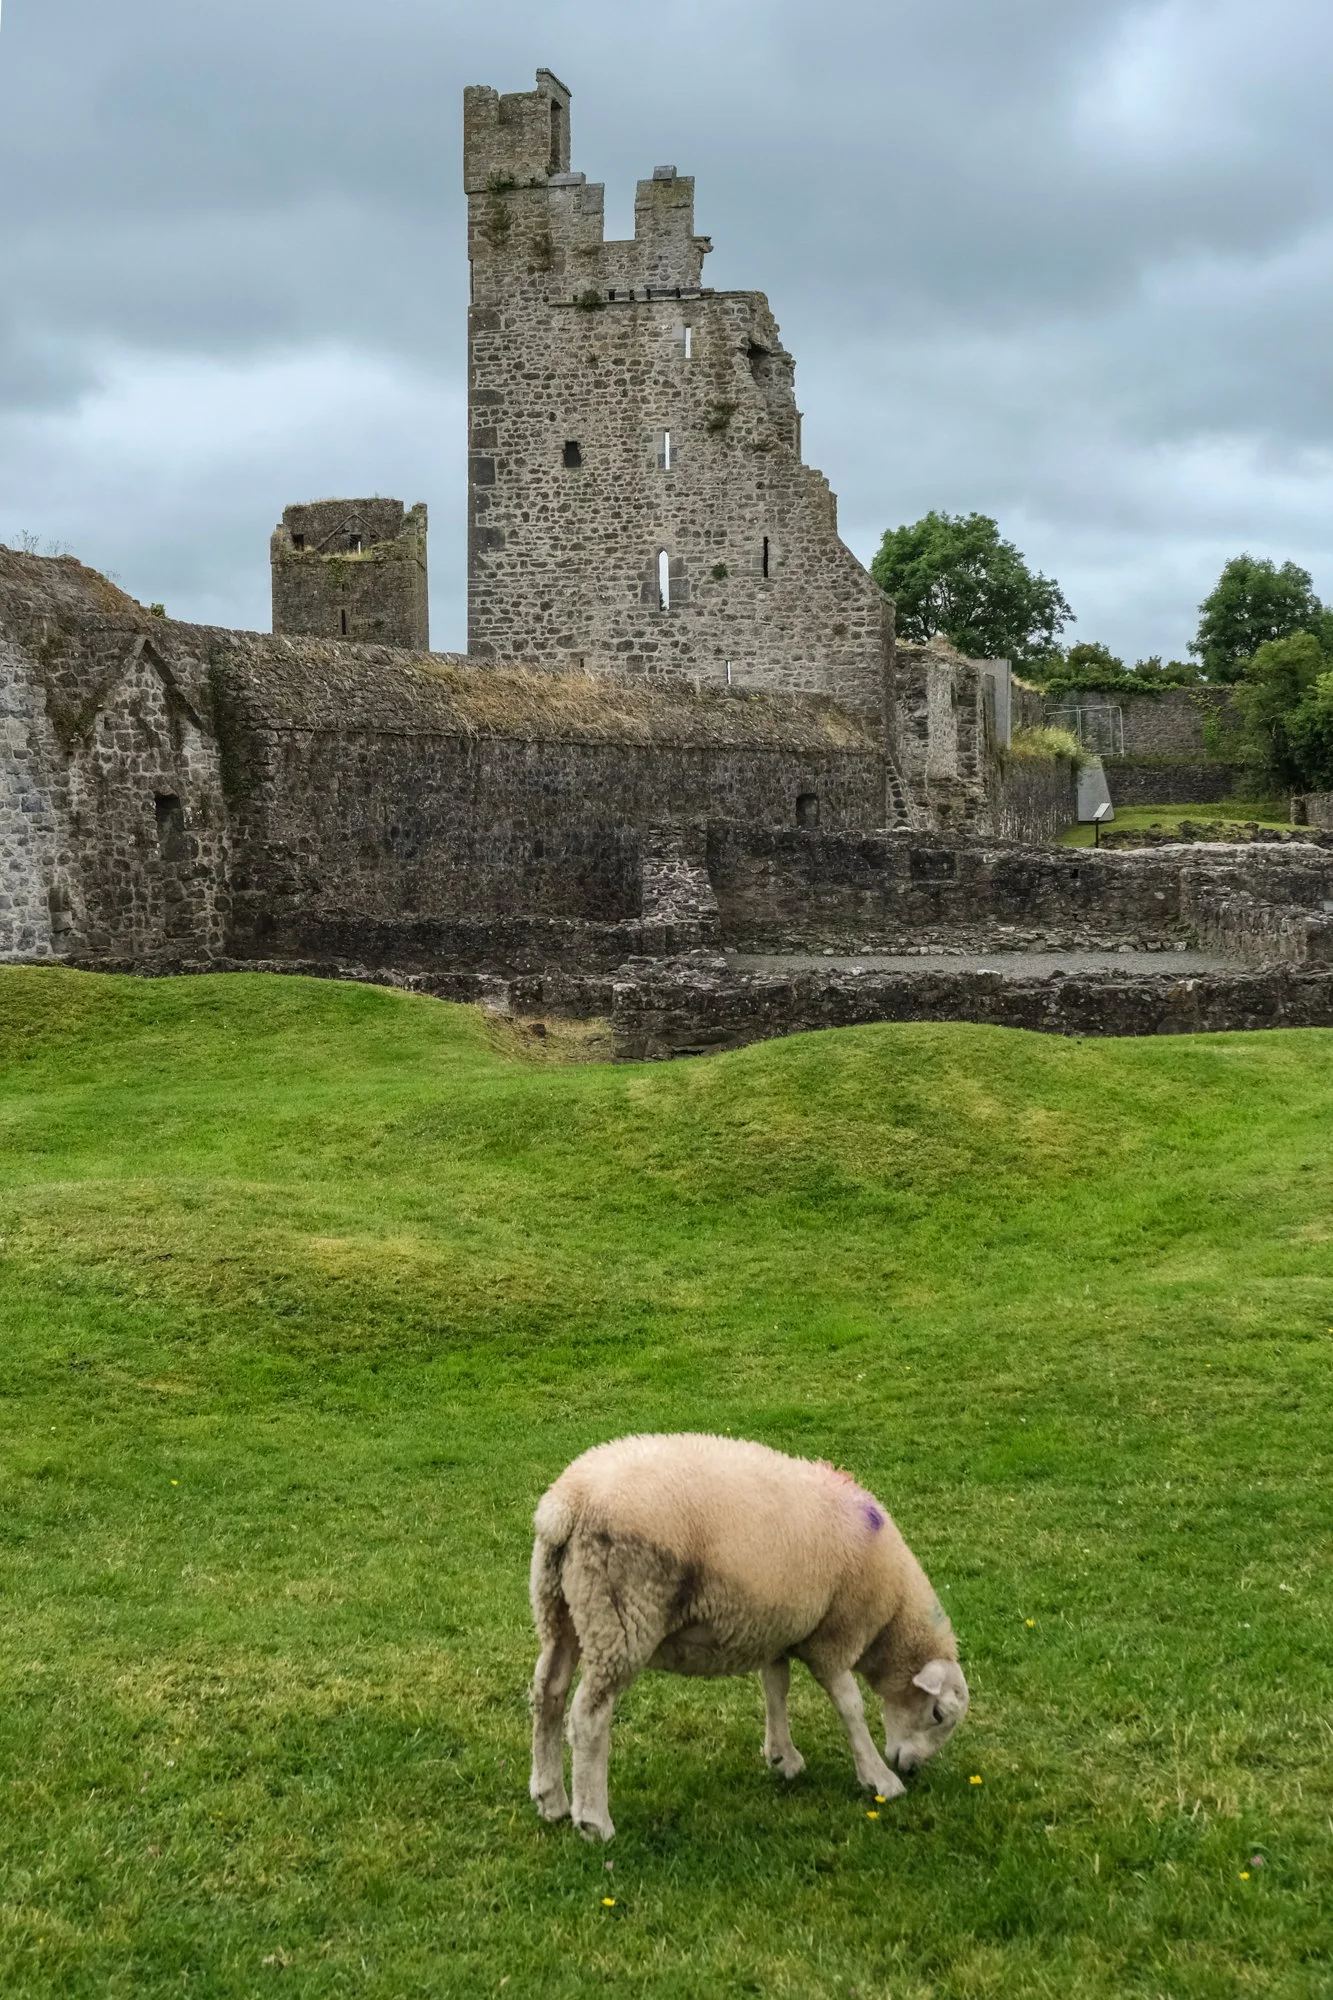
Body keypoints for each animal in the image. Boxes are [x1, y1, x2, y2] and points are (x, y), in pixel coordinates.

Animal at [528, 1432, 969, 1841]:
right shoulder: (833, 1636)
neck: (891, 1619)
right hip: (621, 1618)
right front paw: (880, 1778)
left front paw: (782, 1757)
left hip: (560, 1608)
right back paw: (593, 1821)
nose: (911, 1768)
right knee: (588, 1716)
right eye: (938, 1715)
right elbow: (851, 1707)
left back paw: (551, 1799)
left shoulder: (777, 1630)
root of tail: (566, 1505)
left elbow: (776, 1688)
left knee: (548, 1694)